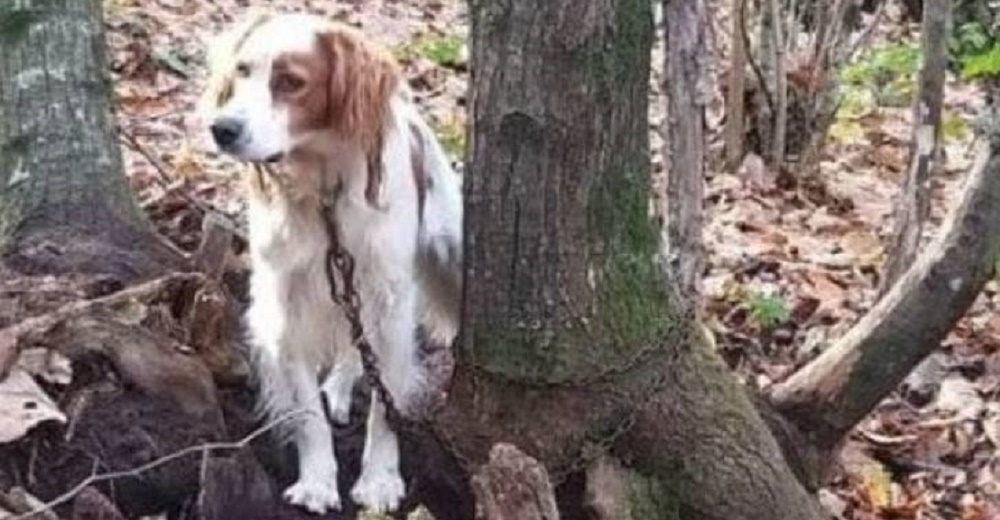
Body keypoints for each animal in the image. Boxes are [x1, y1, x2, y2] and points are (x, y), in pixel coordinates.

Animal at [200, 12, 464, 516]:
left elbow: (385, 405)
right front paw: (318, 482)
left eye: (291, 82)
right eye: (243, 71)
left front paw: (379, 479)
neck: (325, 189)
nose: (221, 128)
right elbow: (307, 413)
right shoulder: (287, 304)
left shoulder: (390, 301)